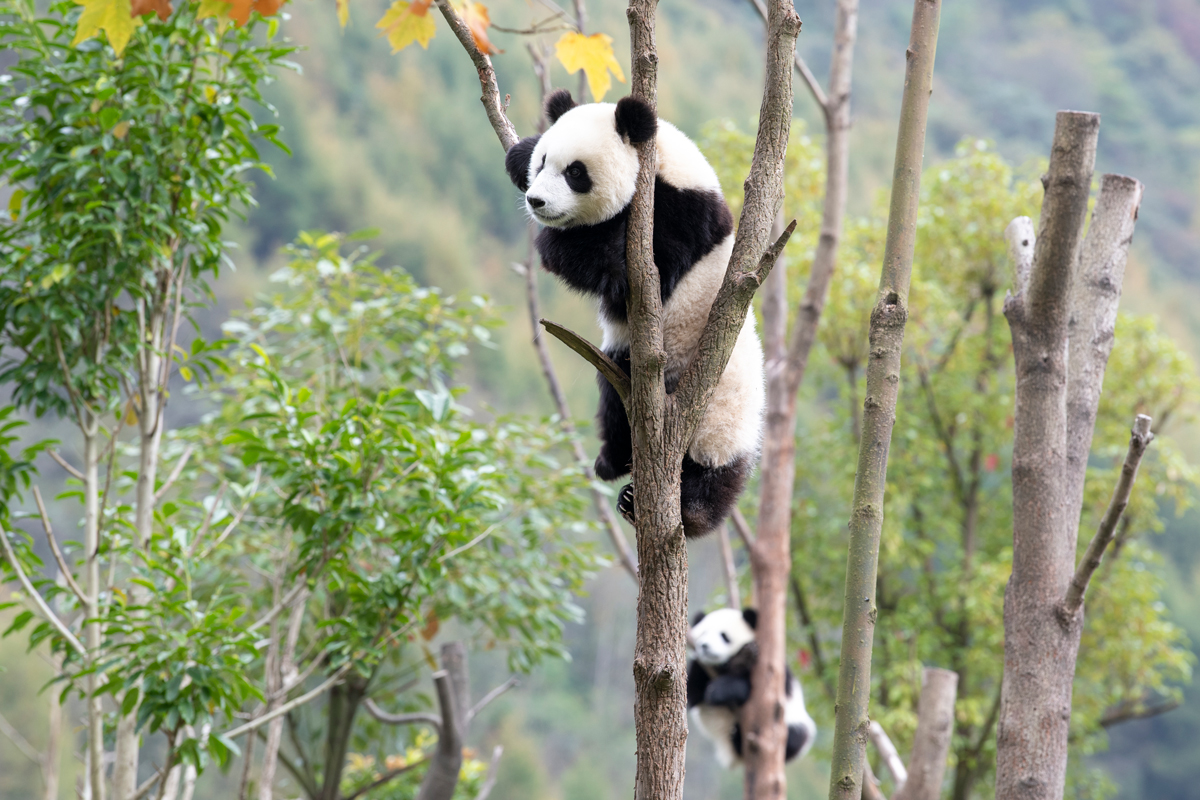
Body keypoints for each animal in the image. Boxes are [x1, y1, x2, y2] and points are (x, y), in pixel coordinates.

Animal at [504, 89, 765, 538]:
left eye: (576, 172)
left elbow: (632, 273)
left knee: (714, 474)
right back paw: (614, 465)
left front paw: (556, 243)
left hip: (721, 416)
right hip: (624, 366)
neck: (662, 168)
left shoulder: (679, 218)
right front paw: (518, 155)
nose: (537, 201)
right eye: (543, 162)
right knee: (614, 400)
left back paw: (687, 510)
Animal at [687, 607, 816, 769]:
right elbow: (691, 692)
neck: (723, 667)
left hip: (792, 721)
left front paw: (721, 688)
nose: (704, 646)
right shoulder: (701, 670)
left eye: (724, 636)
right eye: (703, 633)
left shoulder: (773, 672)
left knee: (796, 736)